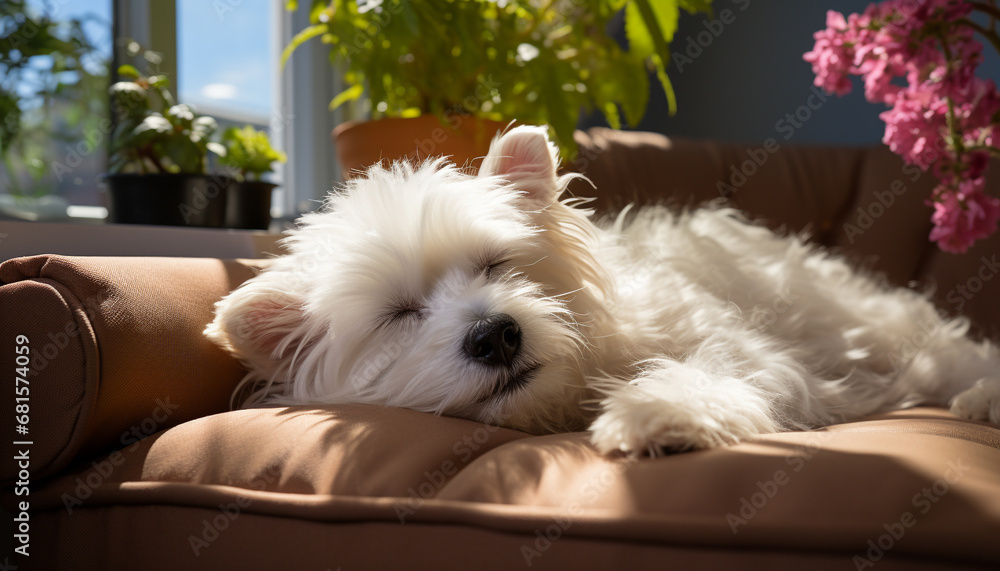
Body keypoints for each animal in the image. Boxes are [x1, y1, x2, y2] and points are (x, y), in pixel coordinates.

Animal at [207, 126, 1000, 456]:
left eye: (497, 265)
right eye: (400, 314)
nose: (495, 334)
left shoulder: (745, 349)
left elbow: (713, 372)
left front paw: (658, 413)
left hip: (892, 331)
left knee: (960, 355)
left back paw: (980, 399)